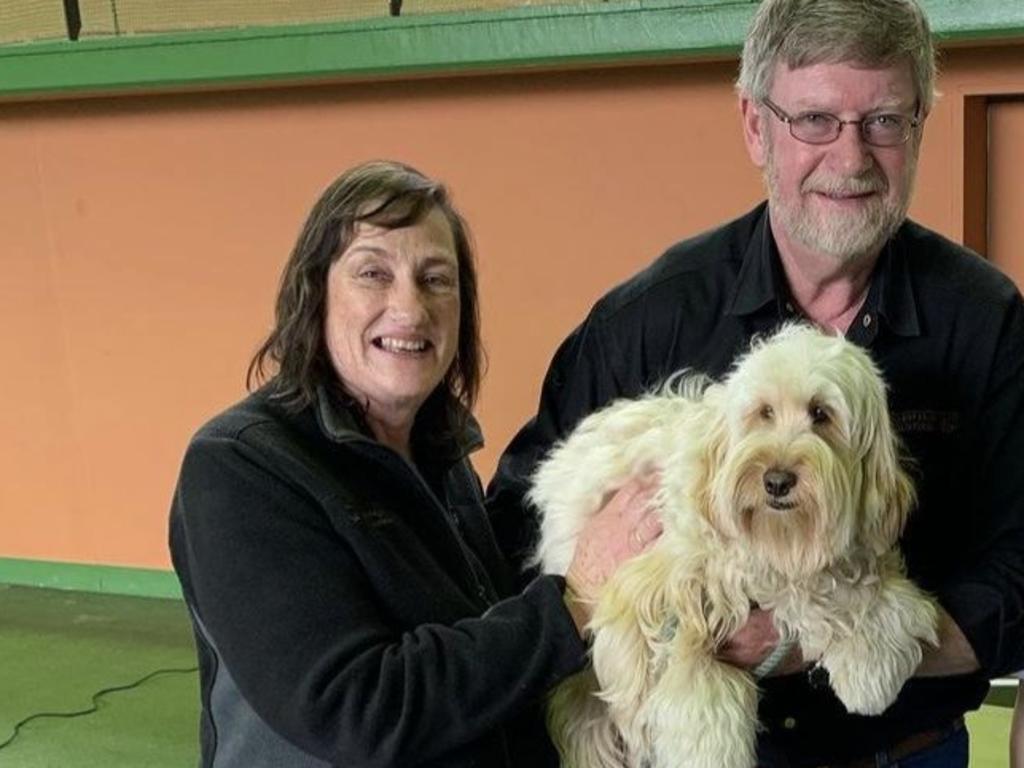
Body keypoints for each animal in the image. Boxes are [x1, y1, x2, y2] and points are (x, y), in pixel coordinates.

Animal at [532, 325, 937, 768]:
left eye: (821, 414)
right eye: (765, 412)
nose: (777, 481)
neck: (781, 544)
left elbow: (875, 597)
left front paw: (870, 663)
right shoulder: (652, 591)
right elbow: (694, 684)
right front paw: (708, 748)